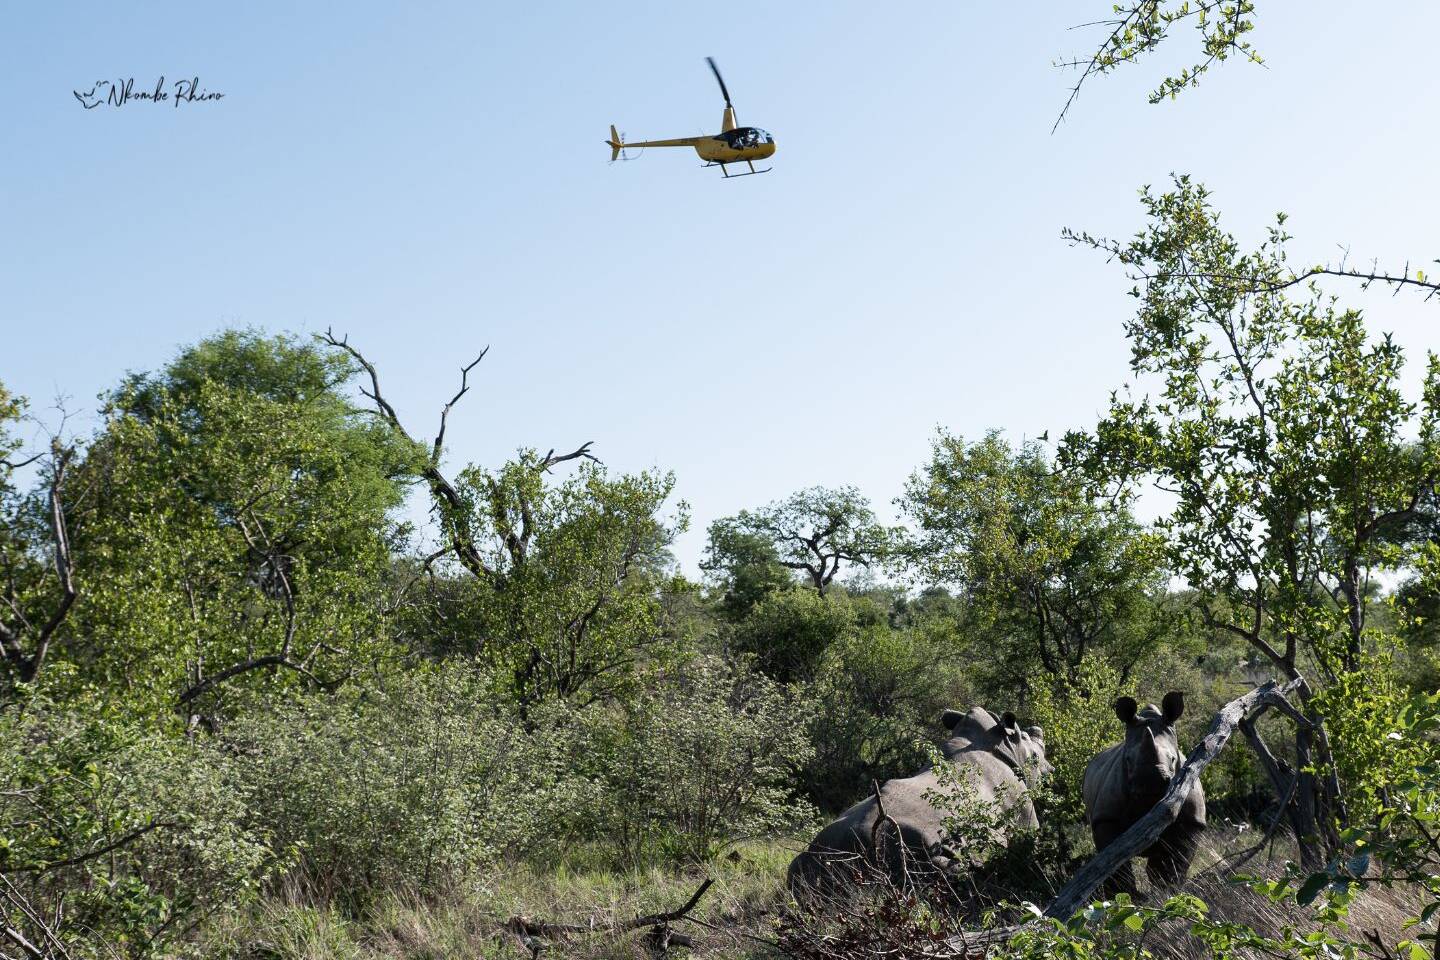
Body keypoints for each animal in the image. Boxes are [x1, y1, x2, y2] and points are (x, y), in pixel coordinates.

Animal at [1082, 692, 1205, 893]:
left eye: (1173, 759)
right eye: (1128, 760)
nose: (1151, 782)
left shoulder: (1192, 820)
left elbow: (1175, 862)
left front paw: (1167, 890)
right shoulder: (1106, 818)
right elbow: (1113, 866)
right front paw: (1125, 895)